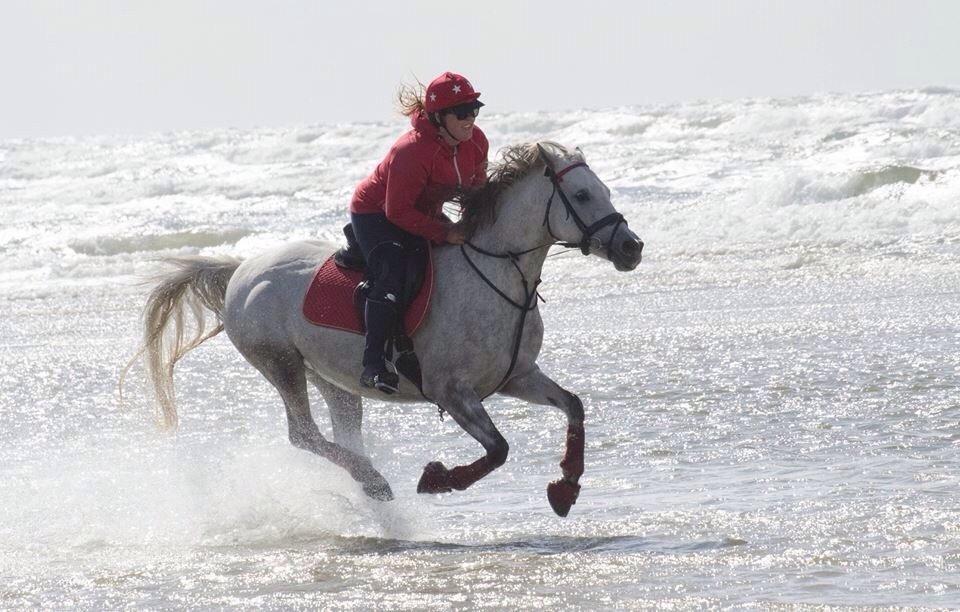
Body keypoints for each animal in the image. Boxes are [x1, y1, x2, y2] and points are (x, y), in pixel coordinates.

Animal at [125, 143, 636, 516]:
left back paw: (368, 484)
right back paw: (375, 482)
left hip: (331, 377)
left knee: (338, 431)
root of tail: (241, 270)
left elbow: (573, 406)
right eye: (584, 196)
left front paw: (566, 487)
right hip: (279, 361)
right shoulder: (452, 392)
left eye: (607, 190)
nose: (633, 248)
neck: (497, 276)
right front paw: (437, 479)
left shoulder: (517, 377)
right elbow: (498, 450)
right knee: (303, 434)